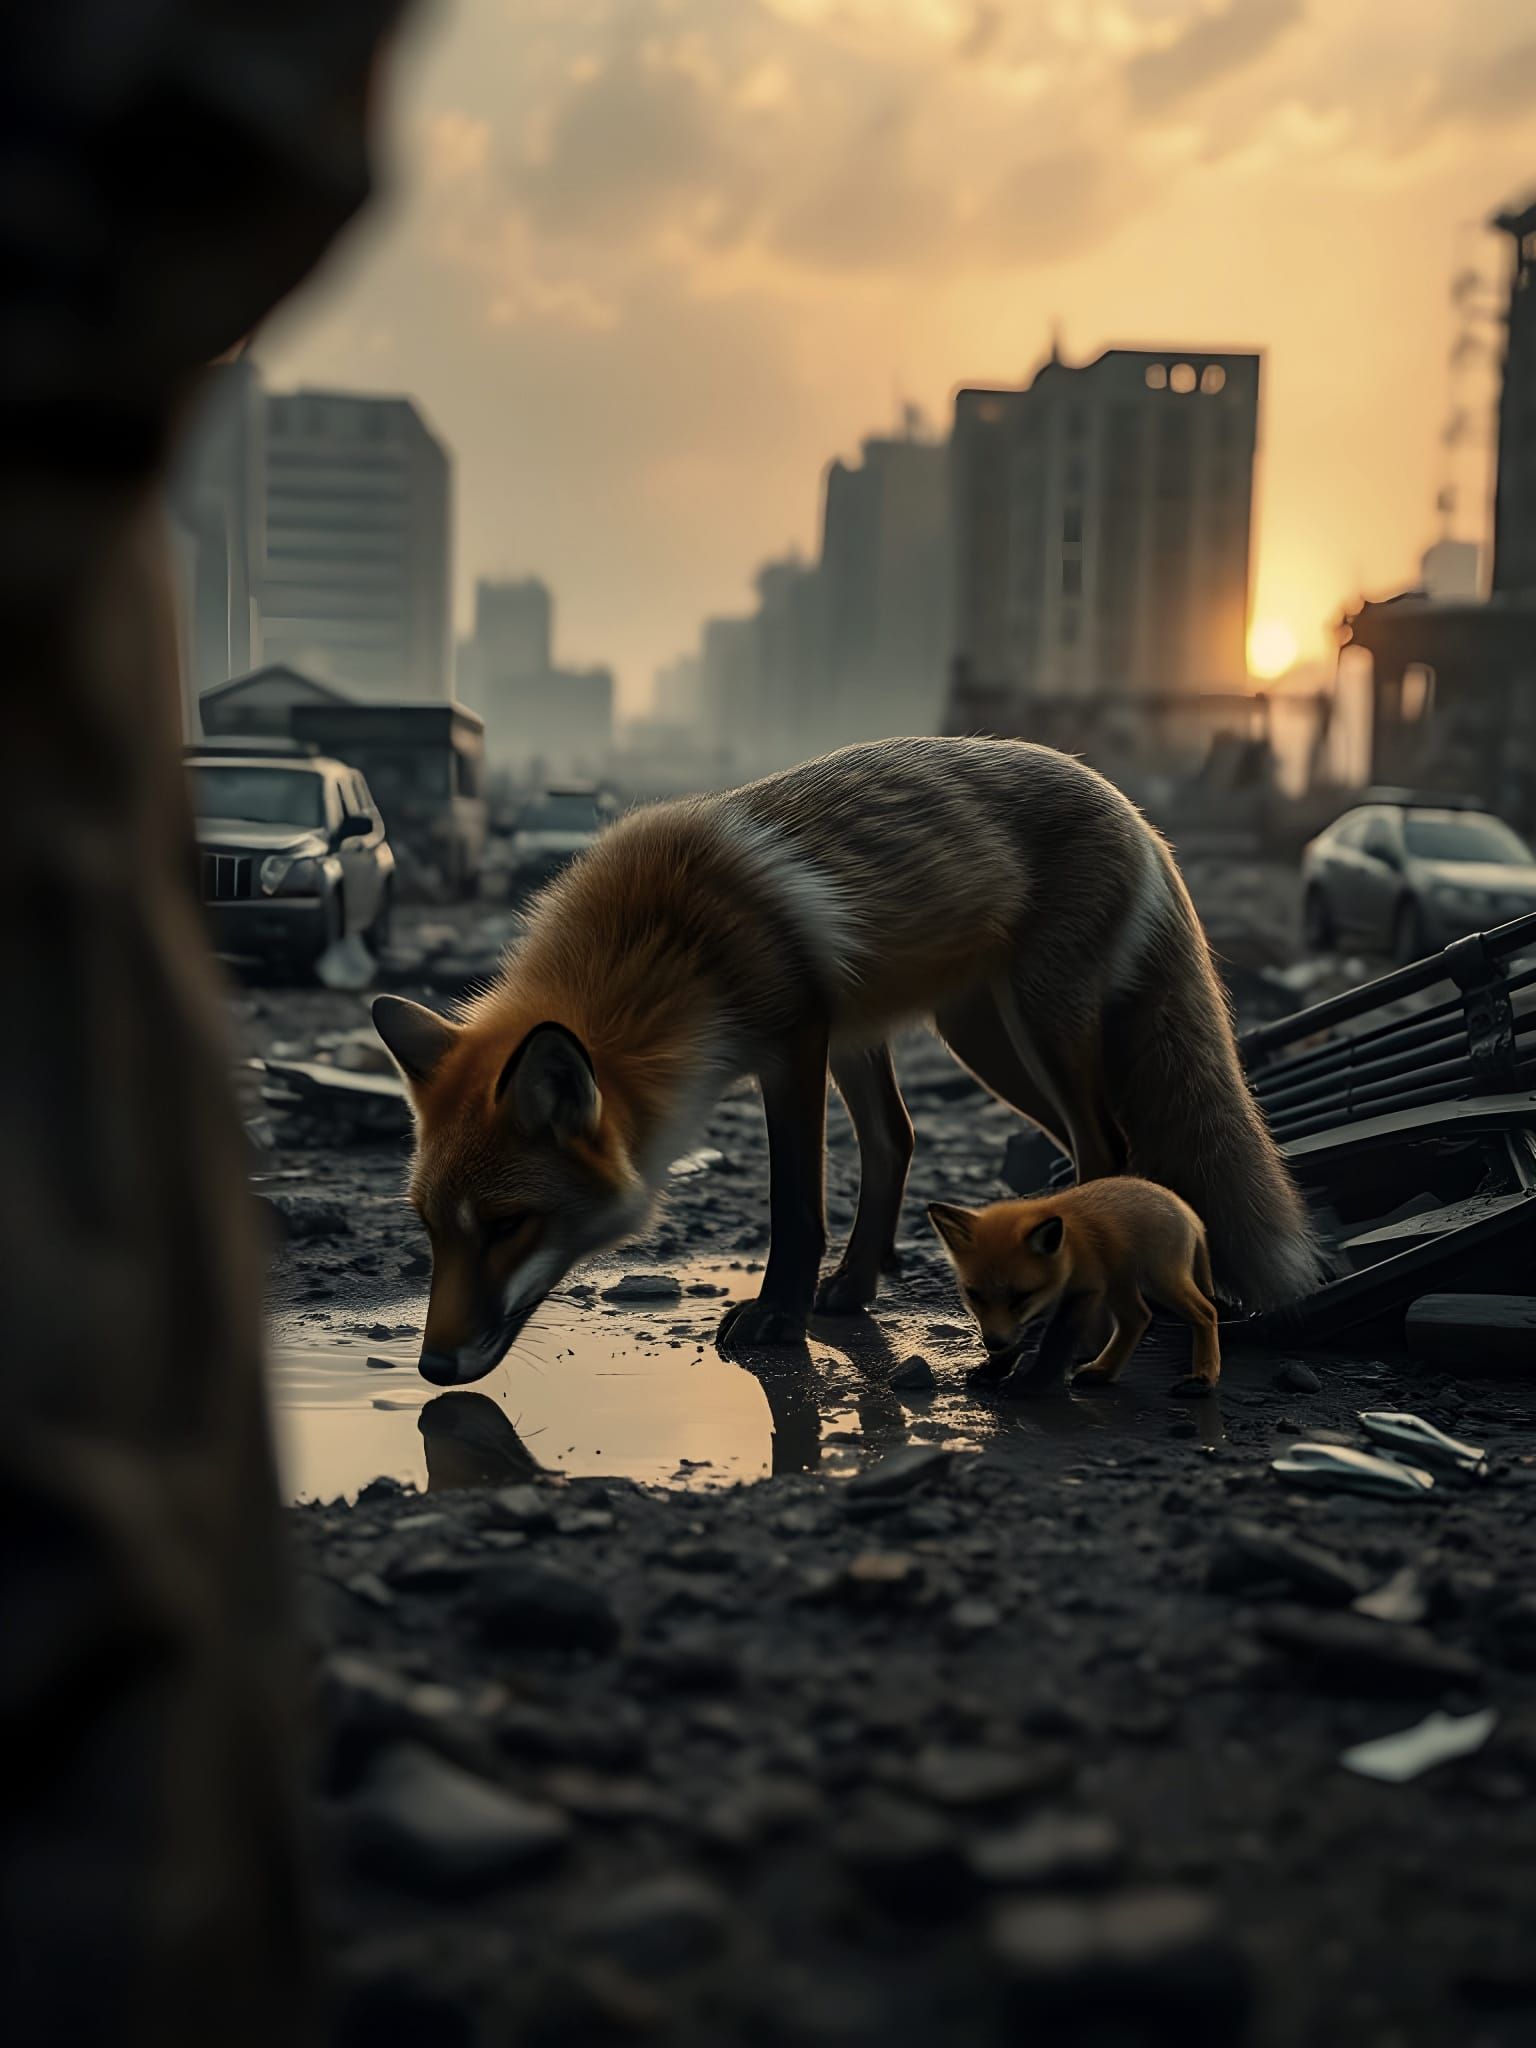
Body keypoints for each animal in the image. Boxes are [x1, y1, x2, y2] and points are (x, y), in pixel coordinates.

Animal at [927, 1179, 1222, 1393]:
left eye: (1021, 1296)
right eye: (974, 1295)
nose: (993, 1343)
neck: (1069, 1251)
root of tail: (1183, 1206)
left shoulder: (1084, 1292)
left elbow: (1055, 1342)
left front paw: (1031, 1383)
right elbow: (1020, 1338)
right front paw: (995, 1369)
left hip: (1159, 1281)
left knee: (1206, 1313)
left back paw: (1203, 1378)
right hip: (1119, 1284)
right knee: (1137, 1318)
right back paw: (1102, 1372)